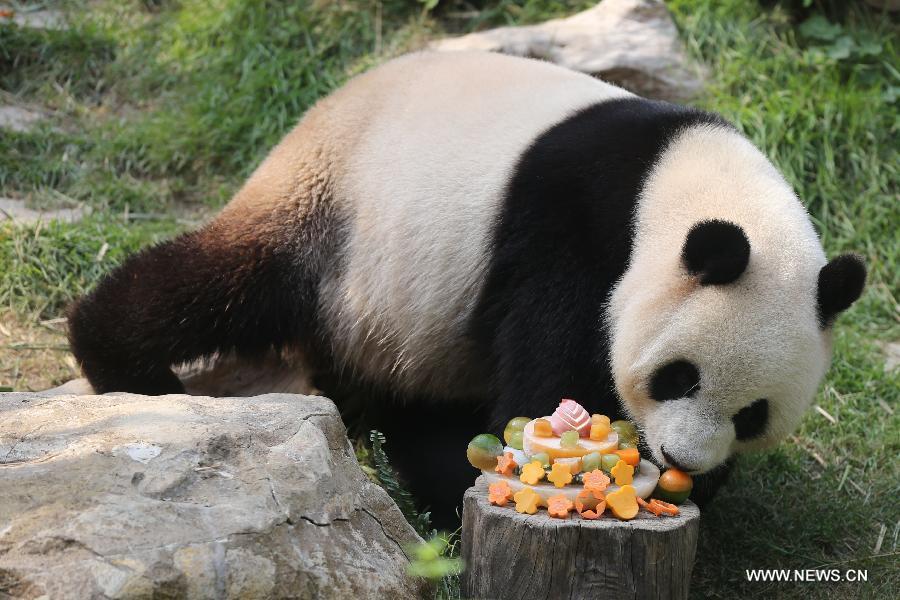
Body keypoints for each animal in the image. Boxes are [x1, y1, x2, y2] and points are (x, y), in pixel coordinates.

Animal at [68, 52, 864, 528]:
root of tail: (308, 121)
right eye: (679, 377)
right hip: (336, 224)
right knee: (224, 285)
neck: (681, 180)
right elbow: (551, 370)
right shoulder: (568, 225)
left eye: (753, 414)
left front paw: (692, 489)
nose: (682, 457)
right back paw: (123, 361)